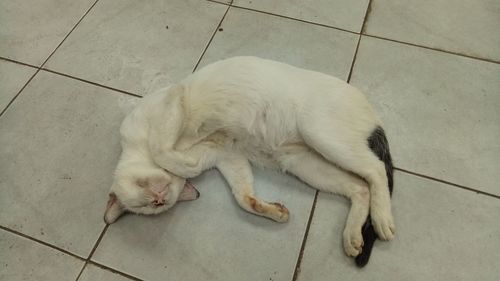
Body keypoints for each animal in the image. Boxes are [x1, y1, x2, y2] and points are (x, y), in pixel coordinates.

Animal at [104, 55, 394, 266]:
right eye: (151, 206)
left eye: (148, 196)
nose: (159, 197)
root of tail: (373, 113)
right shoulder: (227, 156)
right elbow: (243, 197)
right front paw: (275, 211)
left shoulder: (173, 102)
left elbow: (162, 151)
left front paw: (180, 164)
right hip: (303, 163)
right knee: (360, 186)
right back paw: (352, 236)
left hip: (318, 133)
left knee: (376, 169)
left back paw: (382, 219)